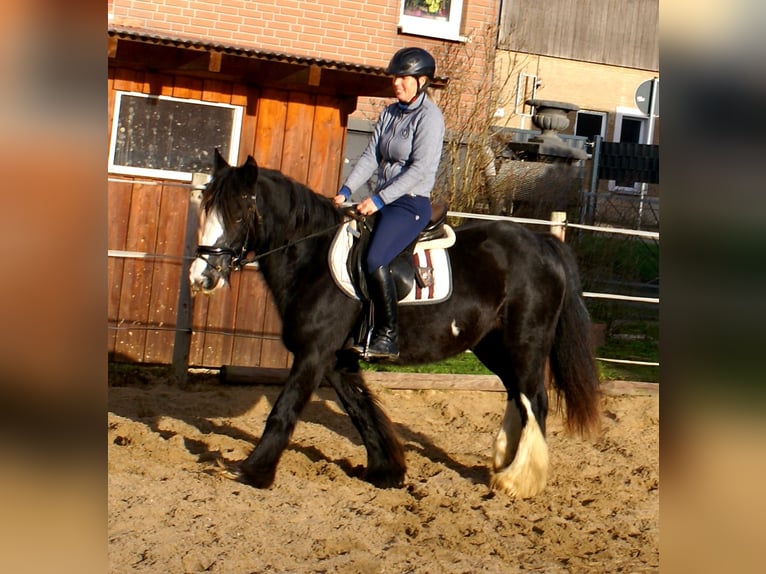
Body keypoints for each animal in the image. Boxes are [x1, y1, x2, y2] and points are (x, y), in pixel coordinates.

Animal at [189, 153, 604, 500]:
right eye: (205, 209)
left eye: (238, 214)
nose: (201, 277)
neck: (312, 258)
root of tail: (540, 242)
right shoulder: (336, 359)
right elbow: (361, 408)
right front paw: (385, 470)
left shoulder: (314, 354)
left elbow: (284, 410)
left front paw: (252, 471)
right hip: (493, 347)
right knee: (517, 397)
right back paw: (504, 464)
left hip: (525, 344)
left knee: (535, 399)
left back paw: (518, 480)